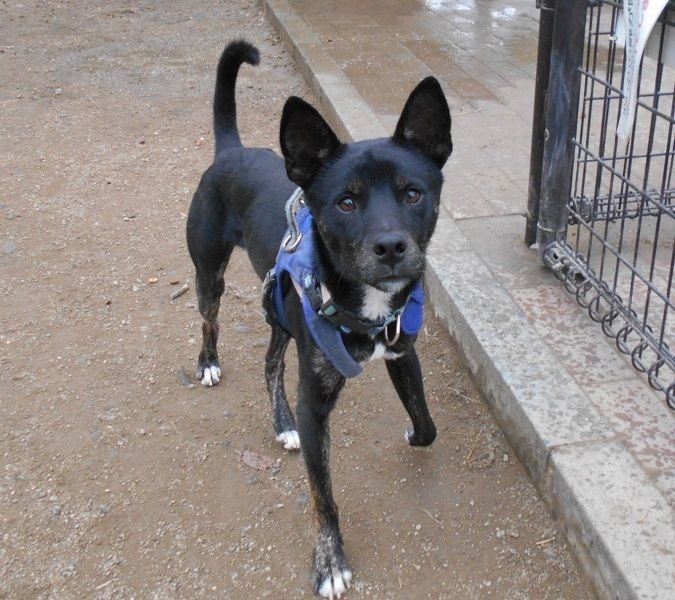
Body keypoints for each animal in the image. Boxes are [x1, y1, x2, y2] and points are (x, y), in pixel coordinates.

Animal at [186, 40, 452, 598]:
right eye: (346, 202)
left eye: (413, 193)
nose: (391, 247)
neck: (363, 304)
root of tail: (230, 152)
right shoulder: (316, 405)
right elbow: (323, 495)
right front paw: (329, 561)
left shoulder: (402, 353)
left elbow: (427, 423)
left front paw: (414, 434)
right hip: (210, 275)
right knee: (209, 321)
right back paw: (208, 363)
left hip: (281, 312)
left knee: (270, 362)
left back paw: (281, 424)